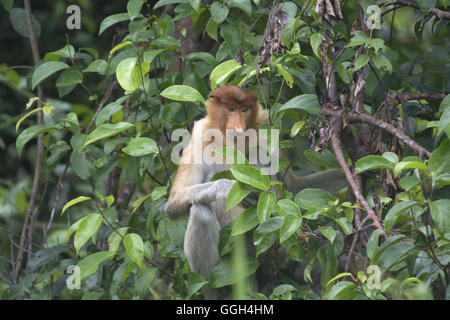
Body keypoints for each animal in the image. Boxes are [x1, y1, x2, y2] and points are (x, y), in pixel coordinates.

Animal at [164, 85, 344, 282]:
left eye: (244, 110)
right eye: (230, 108)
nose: (238, 127)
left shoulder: (266, 128)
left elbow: (293, 187)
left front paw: (351, 172)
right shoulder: (199, 136)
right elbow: (173, 203)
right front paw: (229, 188)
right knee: (200, 212)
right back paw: (211, 280)